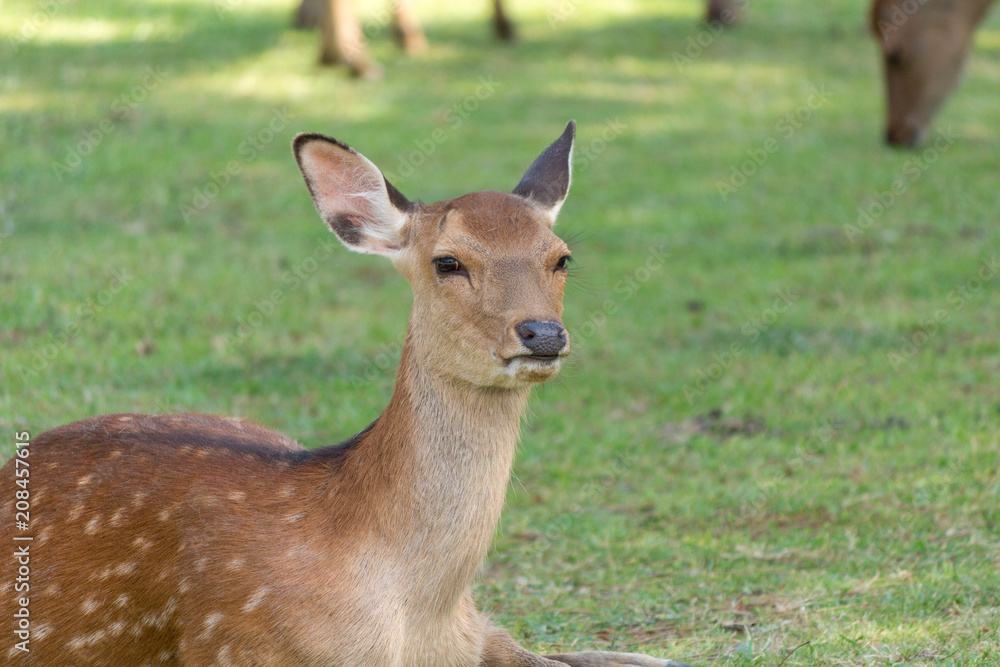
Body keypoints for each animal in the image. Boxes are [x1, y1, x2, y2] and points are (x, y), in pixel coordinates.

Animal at [0, 124, 692, 667]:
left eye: (561, 258)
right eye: (448, 261)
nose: (543, 333)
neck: (419, 613)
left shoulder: (483, 634)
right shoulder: (246, 646)